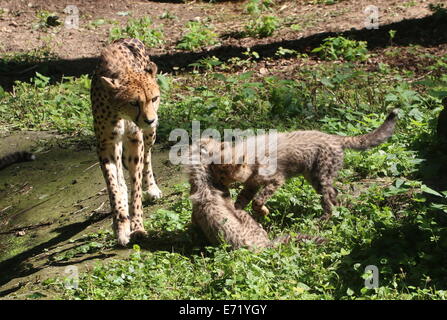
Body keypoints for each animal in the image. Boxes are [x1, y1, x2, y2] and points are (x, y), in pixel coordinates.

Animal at [90, 38, 162, 246]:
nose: (150, 119)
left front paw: (137, 226)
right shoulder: (105, 144)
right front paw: (121, 226)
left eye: (154, 98)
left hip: (149, 135)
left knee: (147, 156)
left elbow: (136, 187)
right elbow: (112, 184)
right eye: (134, 102)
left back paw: (151, 187)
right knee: (120, 175)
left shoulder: (135, 140)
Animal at [198, 110, 398, 220]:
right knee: (334, 193)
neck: (252, 159)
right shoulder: (251, 184)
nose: (215, 183)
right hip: (314, 177)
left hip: (321, 176)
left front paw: (263, 211)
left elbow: (257, 200)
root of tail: (334, 137)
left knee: (327, 198)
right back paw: (339, 211)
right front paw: (237, 215)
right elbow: (242, 201)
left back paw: (325, 218)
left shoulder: (276, 180)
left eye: (221, 174)